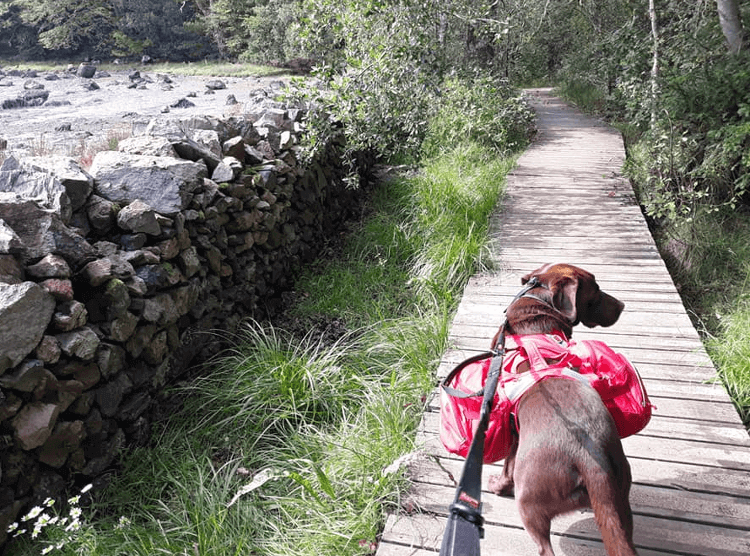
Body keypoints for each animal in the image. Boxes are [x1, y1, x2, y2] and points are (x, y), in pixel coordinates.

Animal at [488, 264, 640, 556]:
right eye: (597, 289)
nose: (624, 306)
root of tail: (592, 463)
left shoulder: (513, 431)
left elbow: (506, 467)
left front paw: (498, 486)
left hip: (529, 503)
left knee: (544, 547)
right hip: (620, 501)